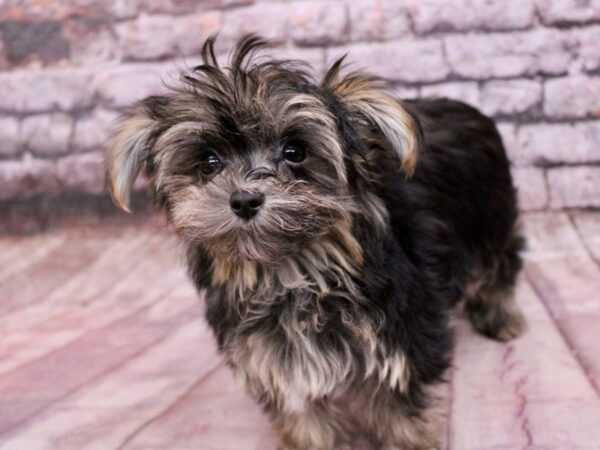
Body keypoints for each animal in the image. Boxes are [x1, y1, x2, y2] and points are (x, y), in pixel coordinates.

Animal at [106, 36, 524, 450]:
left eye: (295, 152)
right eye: (209, 162)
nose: (244, 200)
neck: (293, 269)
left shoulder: (402, 333)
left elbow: (399, 410)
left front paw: (409, 442)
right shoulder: (275, 357)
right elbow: (304, 416)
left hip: (493, 217)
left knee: (501, 264)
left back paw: (500, 316)